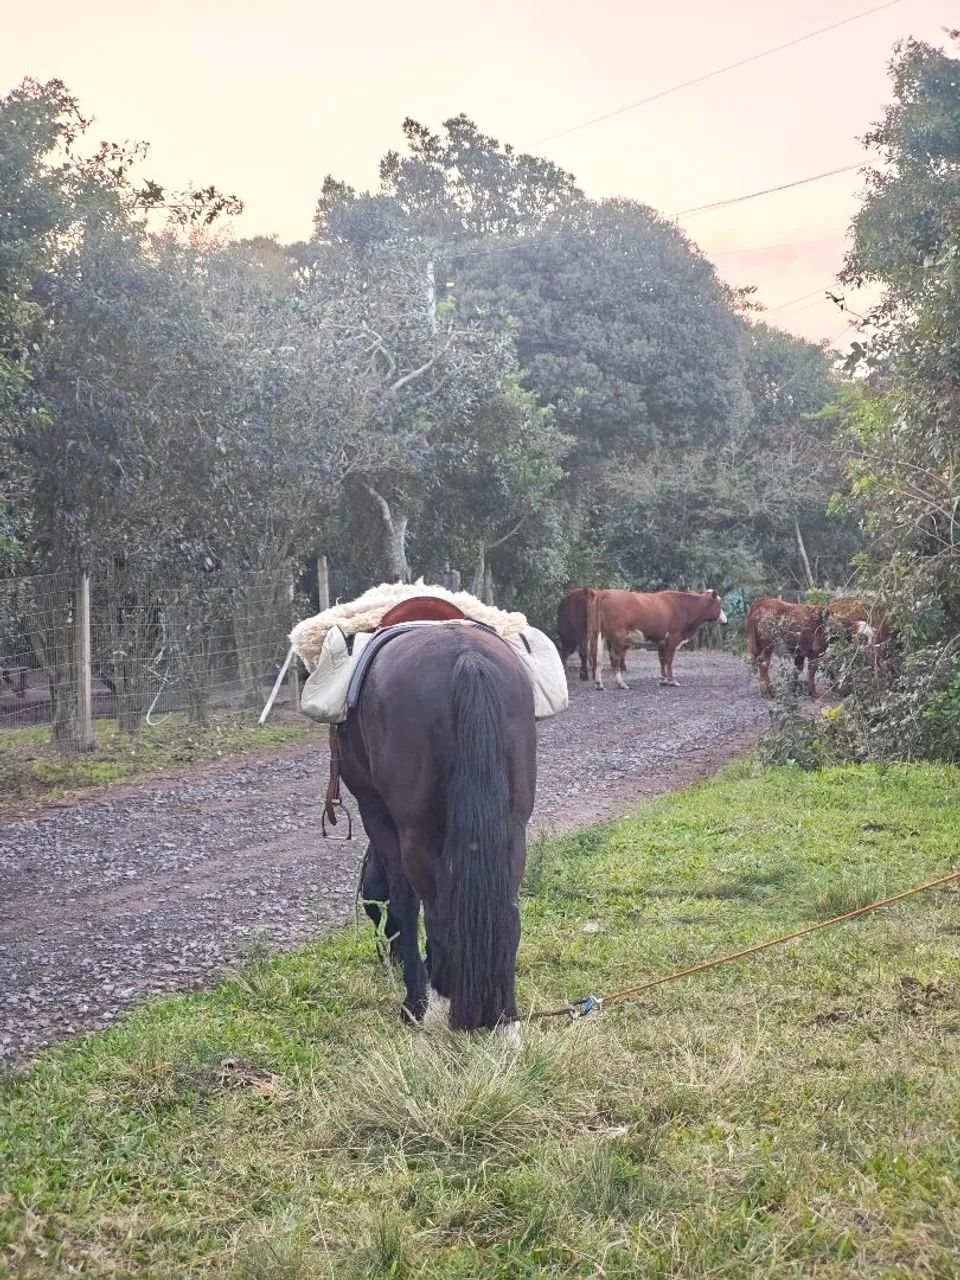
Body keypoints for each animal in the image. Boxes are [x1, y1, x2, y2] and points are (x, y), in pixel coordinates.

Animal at [338, 623, 537, 1032]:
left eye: (371, 910)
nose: (386, 955)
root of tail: (467, 659)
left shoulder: (378, 815)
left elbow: (403, 900)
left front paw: (416, 999)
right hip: (513, 827)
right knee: (506, 915)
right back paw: (502, 1016)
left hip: (416, 833)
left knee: (438, 913)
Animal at [587, 589, 727, 689]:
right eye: (719, 604)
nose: (725, 621)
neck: (683, 606)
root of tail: (604, 592)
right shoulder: (673, 637)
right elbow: (669, 660)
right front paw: (672, 681)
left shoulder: (661, 641)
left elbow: (662, 660)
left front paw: (663, 680)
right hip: (618, 636)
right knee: (615, 658)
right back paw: (621, 683)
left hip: (597, 633)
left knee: (597, 657)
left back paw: (598, 684)